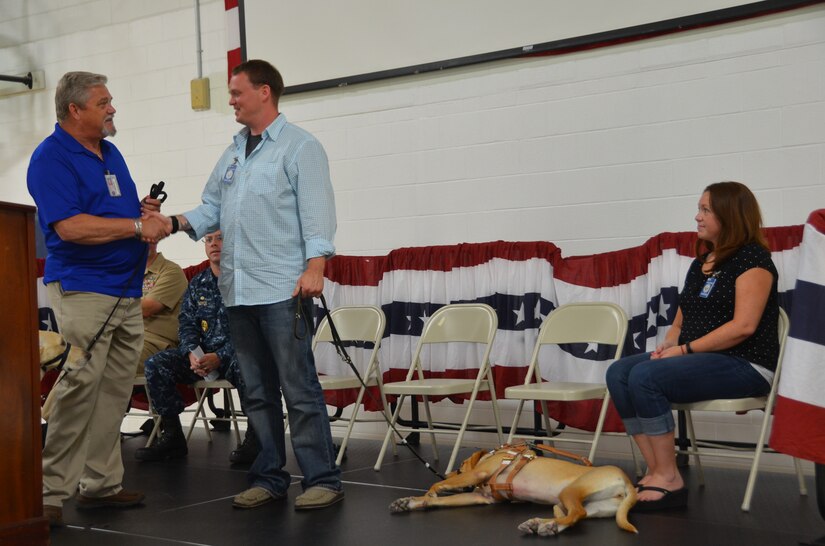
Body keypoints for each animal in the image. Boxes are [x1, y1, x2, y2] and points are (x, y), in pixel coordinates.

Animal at [392, 442, 636, 536]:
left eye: (460, 467)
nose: (447, 473)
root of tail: (627, 481)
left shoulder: (477, 474)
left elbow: (436, 488)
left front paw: (431, 490)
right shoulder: (483, 497)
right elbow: (440, 500)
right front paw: (414, 501)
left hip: (569, 492)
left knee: (577, 513)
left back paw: (543, 526)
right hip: (589, 505)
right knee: (576, 516)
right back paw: (543, 524)